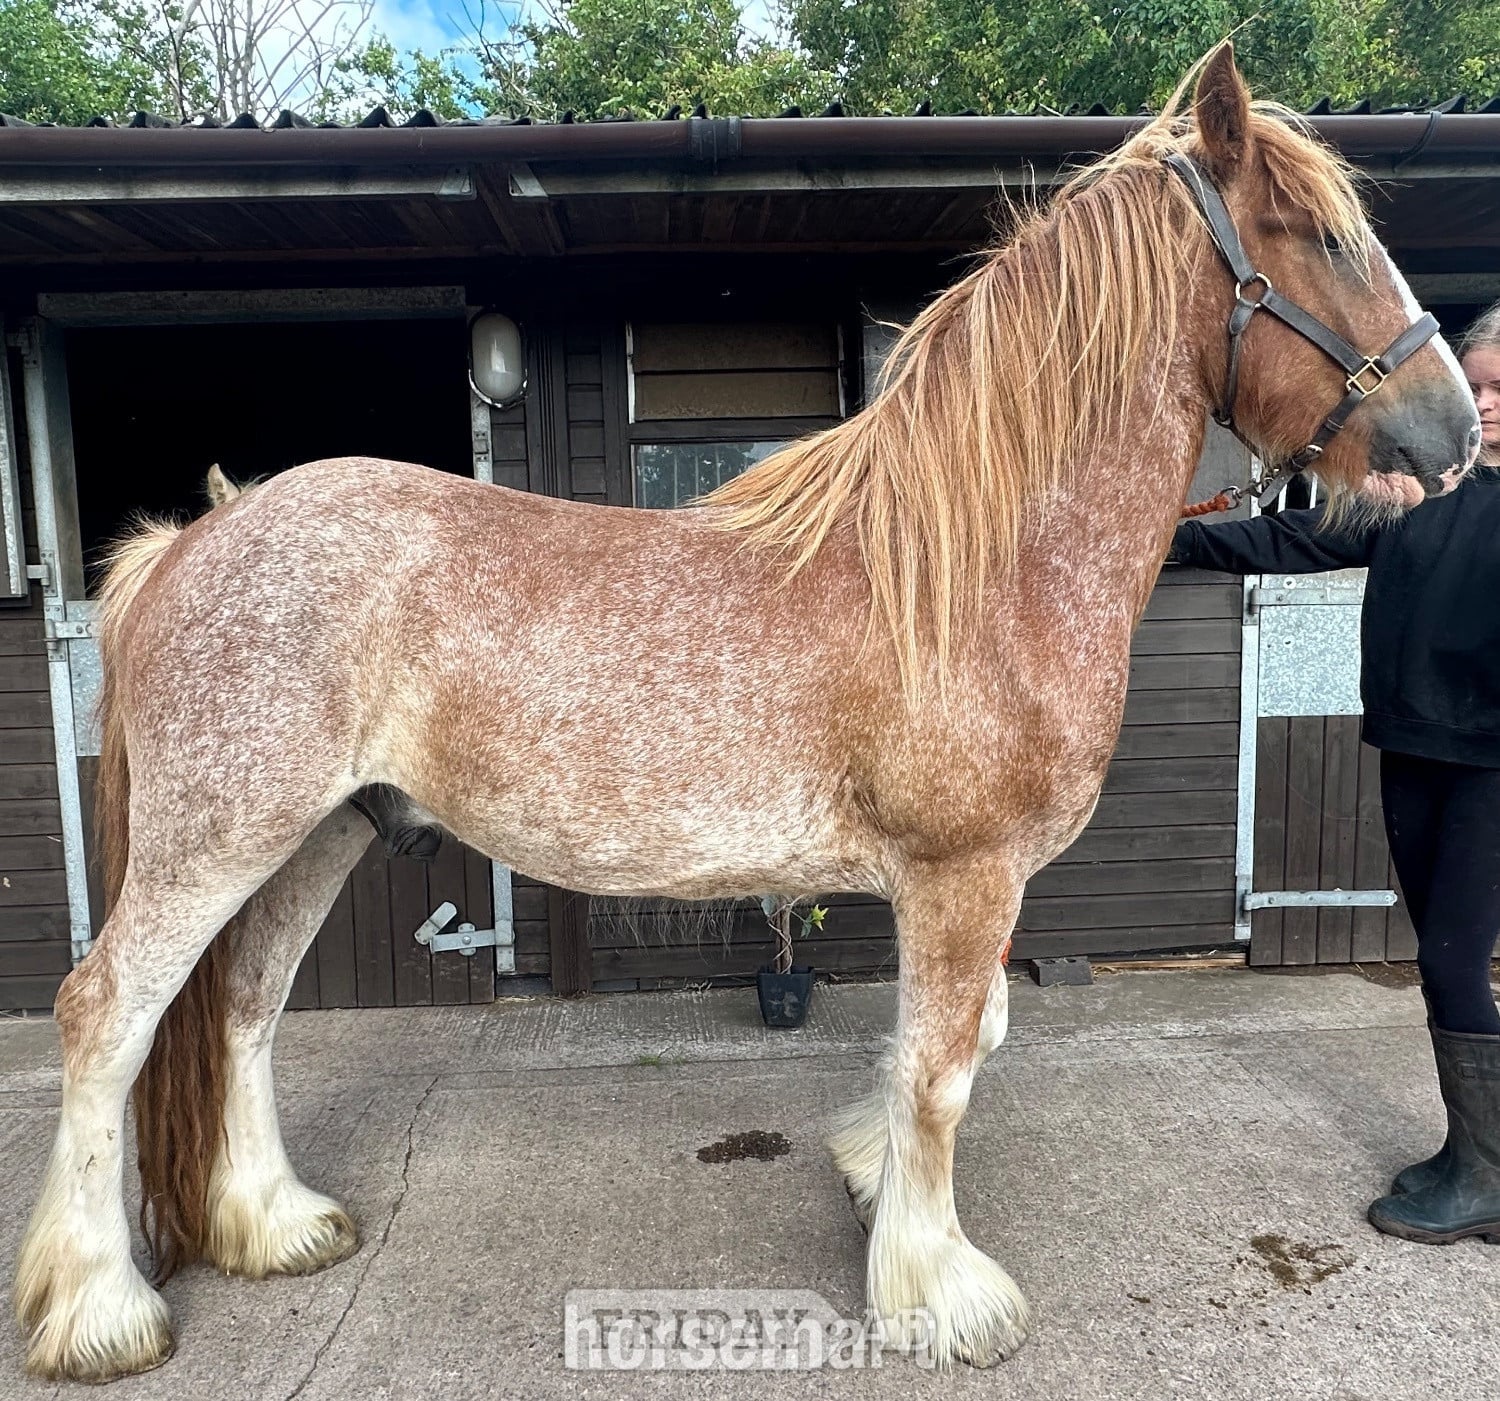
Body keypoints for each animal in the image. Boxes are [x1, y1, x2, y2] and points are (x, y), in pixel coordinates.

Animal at [12, 45, 1481, 1382]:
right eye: (1327, 238)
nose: (1457, 427)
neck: (973, 564)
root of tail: (196, 540)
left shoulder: (958, 886)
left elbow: (945, 1047)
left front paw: (872, 1181)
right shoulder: (964, 877)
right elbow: (947, 1066)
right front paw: (940, 1290)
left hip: (323, 833)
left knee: (245, 1007)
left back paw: (273, 1224)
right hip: (218, 839)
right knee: (108, 1013)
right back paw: (100, 1311)